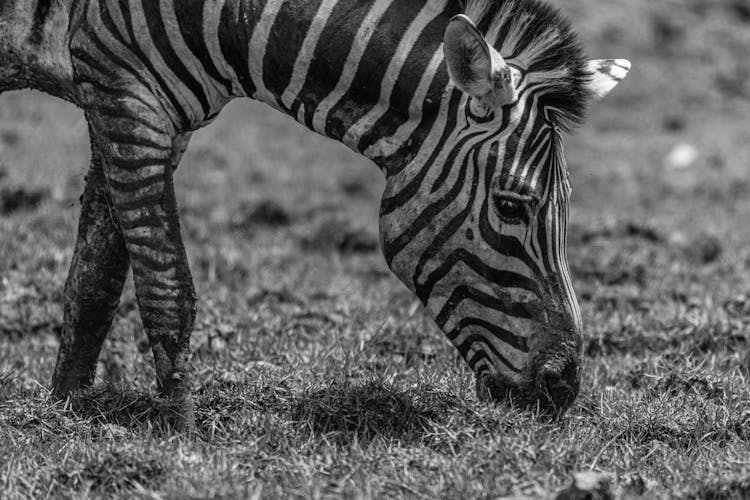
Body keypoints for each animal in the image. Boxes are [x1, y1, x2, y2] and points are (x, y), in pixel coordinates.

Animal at [1, 0, 628, 430]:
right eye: (509, 206)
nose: (563, 388)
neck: (230, 20)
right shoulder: (124, 90)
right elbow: (166, 287)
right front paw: (179, 435)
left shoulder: (140, 111)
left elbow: (96, 278)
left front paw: (67, 410)